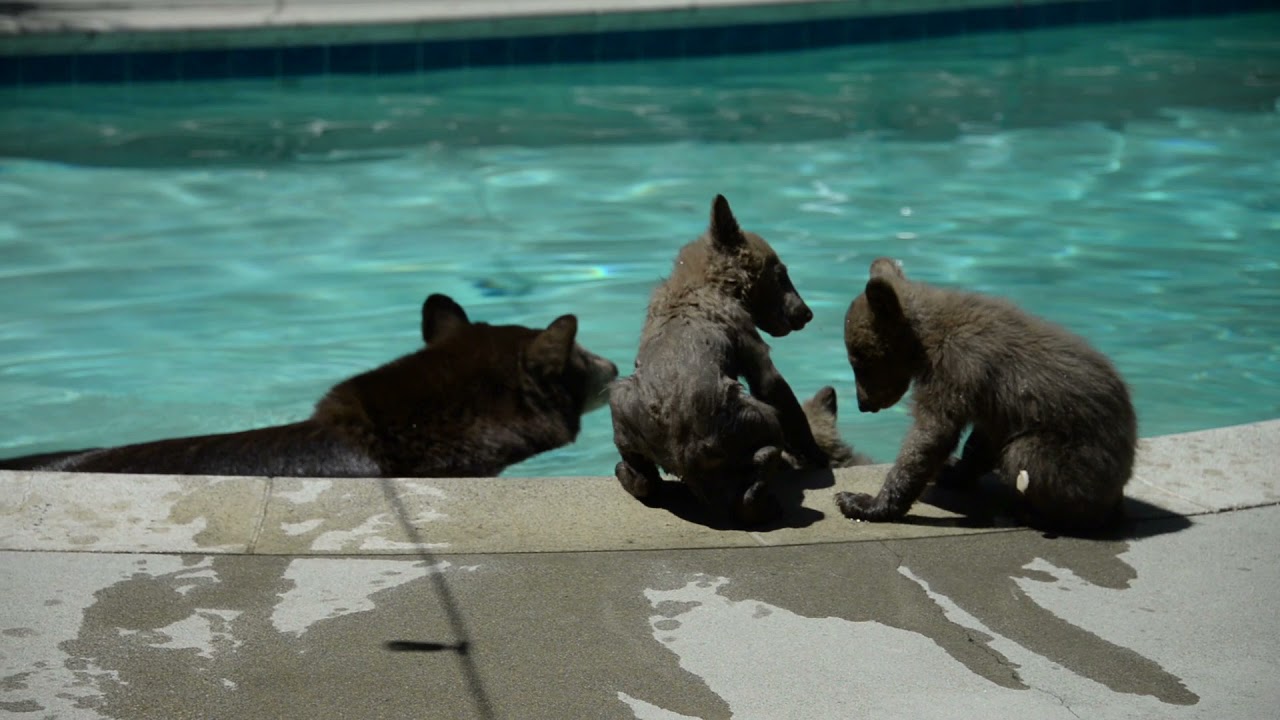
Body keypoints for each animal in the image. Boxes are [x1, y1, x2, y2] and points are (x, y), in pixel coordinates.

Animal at [608, 194, 832, 526]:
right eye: (781, 274)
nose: (806, 313)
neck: (705, 282)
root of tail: (686, 452)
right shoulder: (747, 335)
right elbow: (775, 388)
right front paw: (817, 456)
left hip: (623, 402)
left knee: (641, 472)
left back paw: (628, 474)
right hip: (751, 416)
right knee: (762, 453)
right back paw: (766, 494)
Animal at [834, 257, 1137, 533]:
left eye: (858, 361)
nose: (863, 404)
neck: (925, 342)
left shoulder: (957, 370)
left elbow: (931, 435)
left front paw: (863, 503)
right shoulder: (987, 397)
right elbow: (981, 439)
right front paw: (952, 471)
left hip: (1078, 456)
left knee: (1025, 456)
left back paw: (1035, 514)